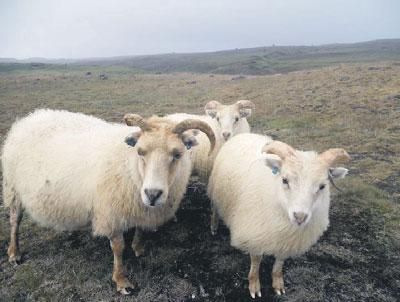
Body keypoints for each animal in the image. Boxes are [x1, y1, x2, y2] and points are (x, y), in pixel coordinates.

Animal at [1, 109, 216, 294]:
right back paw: (14, 253)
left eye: (177, 154)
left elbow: (140, 229)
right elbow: (118, 248)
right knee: (14, 221)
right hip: (13, 188)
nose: (152, 194)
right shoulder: (111, 212)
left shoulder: (139, 208)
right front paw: (121, 281)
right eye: (140, 151)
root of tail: (29, 118)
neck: (130, 166)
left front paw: (138, 248)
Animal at [209, 134, 350, 298]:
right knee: (215, 208)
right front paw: (254, 286)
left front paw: (278, 285)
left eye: (322, 186)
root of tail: (244, 134)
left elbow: (279, 263)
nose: (300, 217)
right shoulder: (254, 233)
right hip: (217, 190)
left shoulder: (285, 242)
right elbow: (256, 261)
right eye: (284, 180)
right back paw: (214, 226)